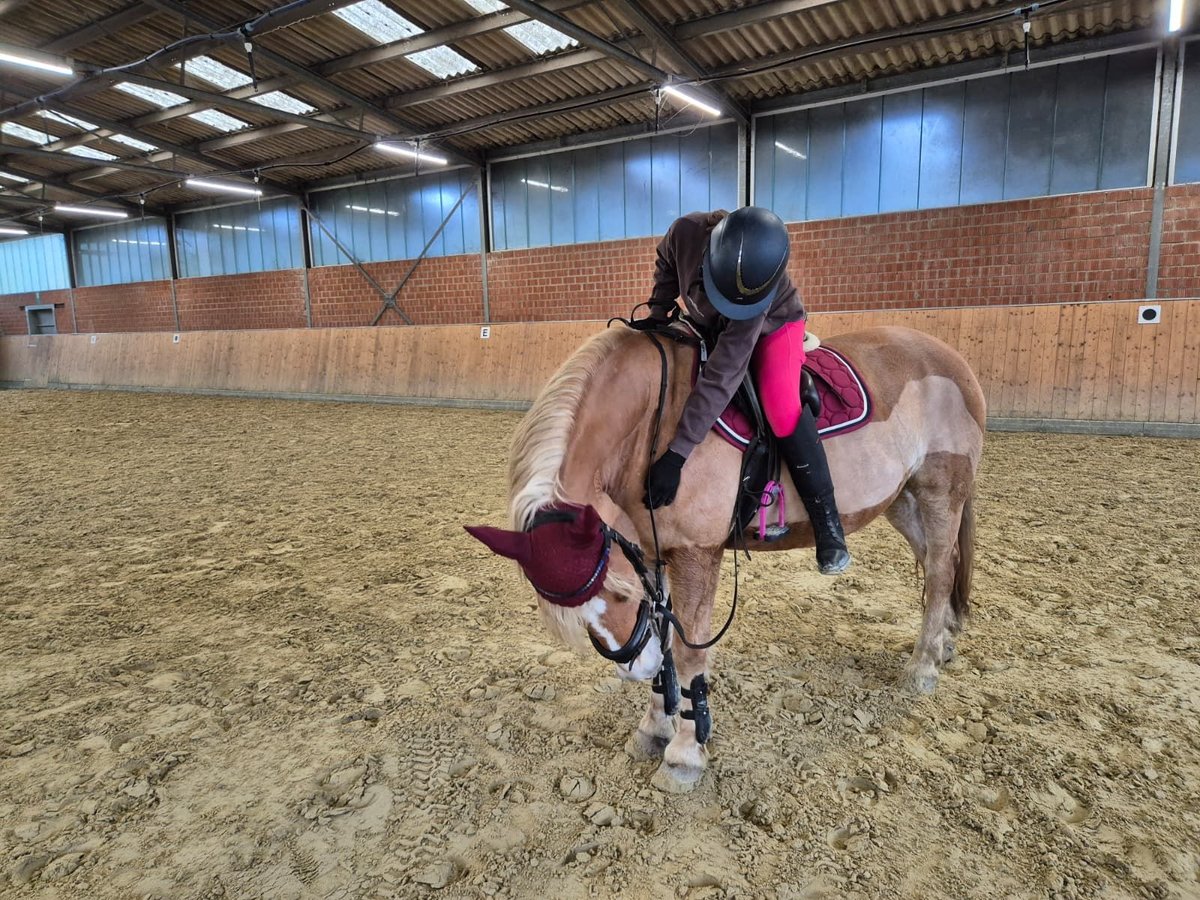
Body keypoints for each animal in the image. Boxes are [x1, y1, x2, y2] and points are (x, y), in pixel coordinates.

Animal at [475, 323, 986, 793]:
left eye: (618, 595)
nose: (635, 669)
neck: (654, 424)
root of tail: (952, 358)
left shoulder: (696, 555)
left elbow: (687, 652)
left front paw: (683, 754)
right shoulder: (654, 552)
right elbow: (667, 641)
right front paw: (654, 727)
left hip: (940, 491)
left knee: (941, 570)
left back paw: (923, 667)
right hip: (902, 498)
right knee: (937, 565)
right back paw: (943, 643)